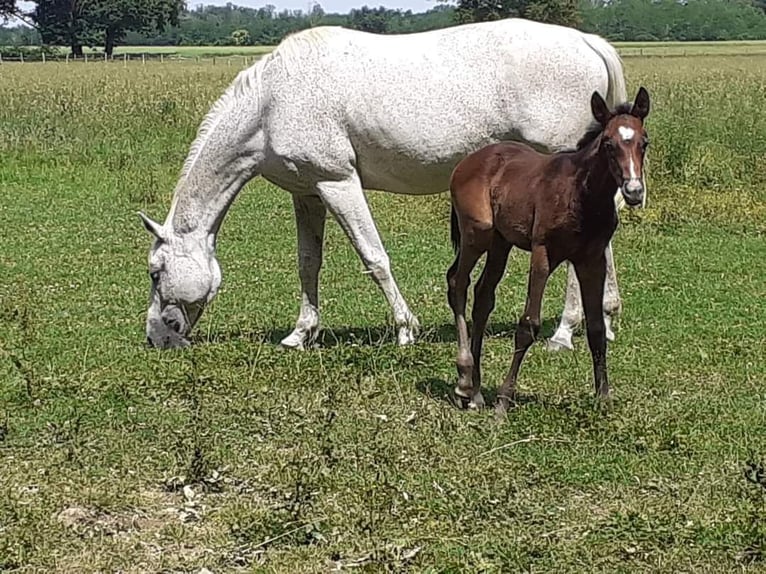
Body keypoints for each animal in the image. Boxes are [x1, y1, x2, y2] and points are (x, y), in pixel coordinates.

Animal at [140, 18, 636, 352]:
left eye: (155, 271)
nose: (157, 337)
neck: (272, 101)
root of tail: (586, 42)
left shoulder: (338, 182)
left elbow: (374, 257)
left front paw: (404, 329)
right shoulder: (307, 193)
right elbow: (308, 263)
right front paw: (301, 333)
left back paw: (565, 331)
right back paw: (606, 317)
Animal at [450, 86, 656, 414]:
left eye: (644, 142)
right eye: (609, 144)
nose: (634, 191)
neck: (582, 195)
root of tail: (468, 161)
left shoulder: (591, 260)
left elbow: (596, 329)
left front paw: (603, 398)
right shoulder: (543, 253)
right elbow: (528, 325)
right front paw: (504, 403)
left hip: (500, 242)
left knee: (483, 296)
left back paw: (478, 393)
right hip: (477, 234)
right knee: (458, 283)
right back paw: (464, 382)